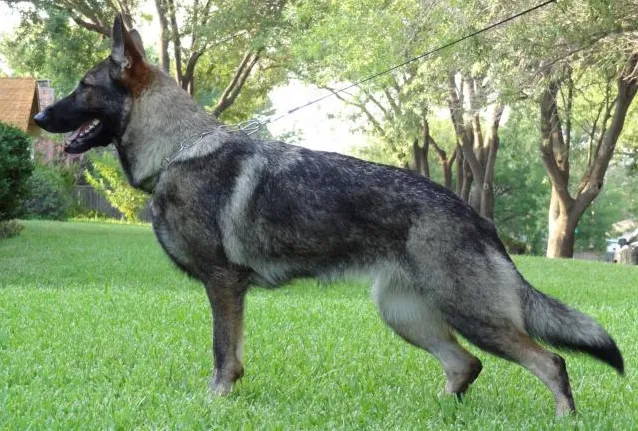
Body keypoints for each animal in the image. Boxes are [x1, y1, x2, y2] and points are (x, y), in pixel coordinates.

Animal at [35, 15, 624, 416]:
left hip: (471, 315)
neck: (177, 150)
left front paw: (215, 402)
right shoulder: (230, 288)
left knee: (550, 363)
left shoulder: (224, 284)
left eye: (83, 87)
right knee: (467, 365)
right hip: (404, 313)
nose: (39, 115)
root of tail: (479, 219)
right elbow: (233, 355)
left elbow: (224, 354)